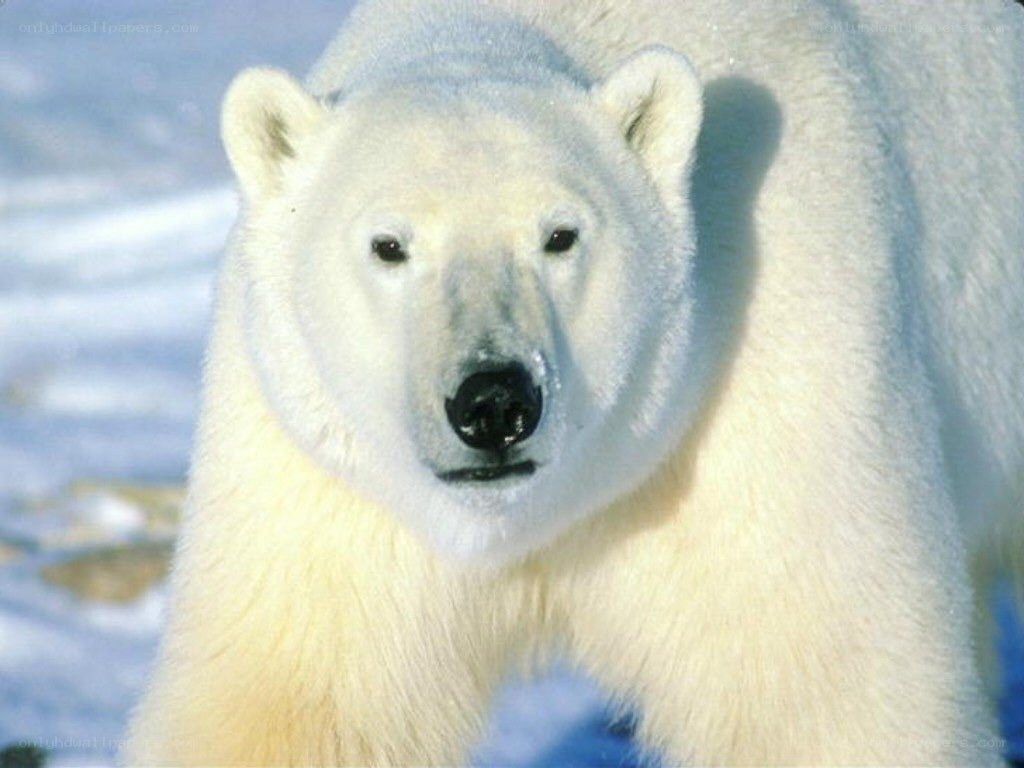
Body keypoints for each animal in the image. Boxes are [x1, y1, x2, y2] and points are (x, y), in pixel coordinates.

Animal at [124, 0, 1024, 765]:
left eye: (560, 235)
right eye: (388, 245)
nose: (493, 403)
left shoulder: (768, 381)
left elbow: (824, 696)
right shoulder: (324, 478)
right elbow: (296, 701)